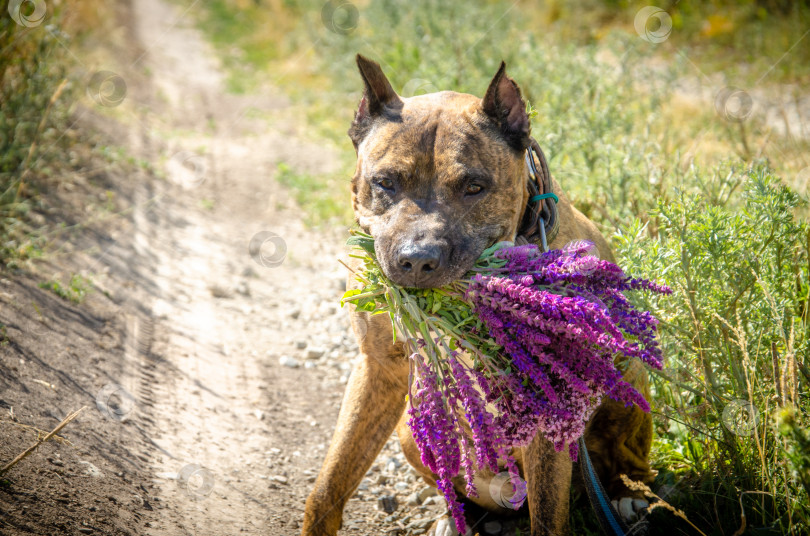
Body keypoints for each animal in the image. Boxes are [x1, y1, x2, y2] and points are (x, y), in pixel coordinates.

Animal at [300, 55, 652, 536]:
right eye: (385, 182)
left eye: (473, 187)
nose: (417, 260)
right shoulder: (378, 368)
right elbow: (331, 479)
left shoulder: (547, 398)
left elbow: (548, 516)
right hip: (414, 425)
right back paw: (457, 516)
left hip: (626, 379)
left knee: (630, 464)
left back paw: (627, 496)